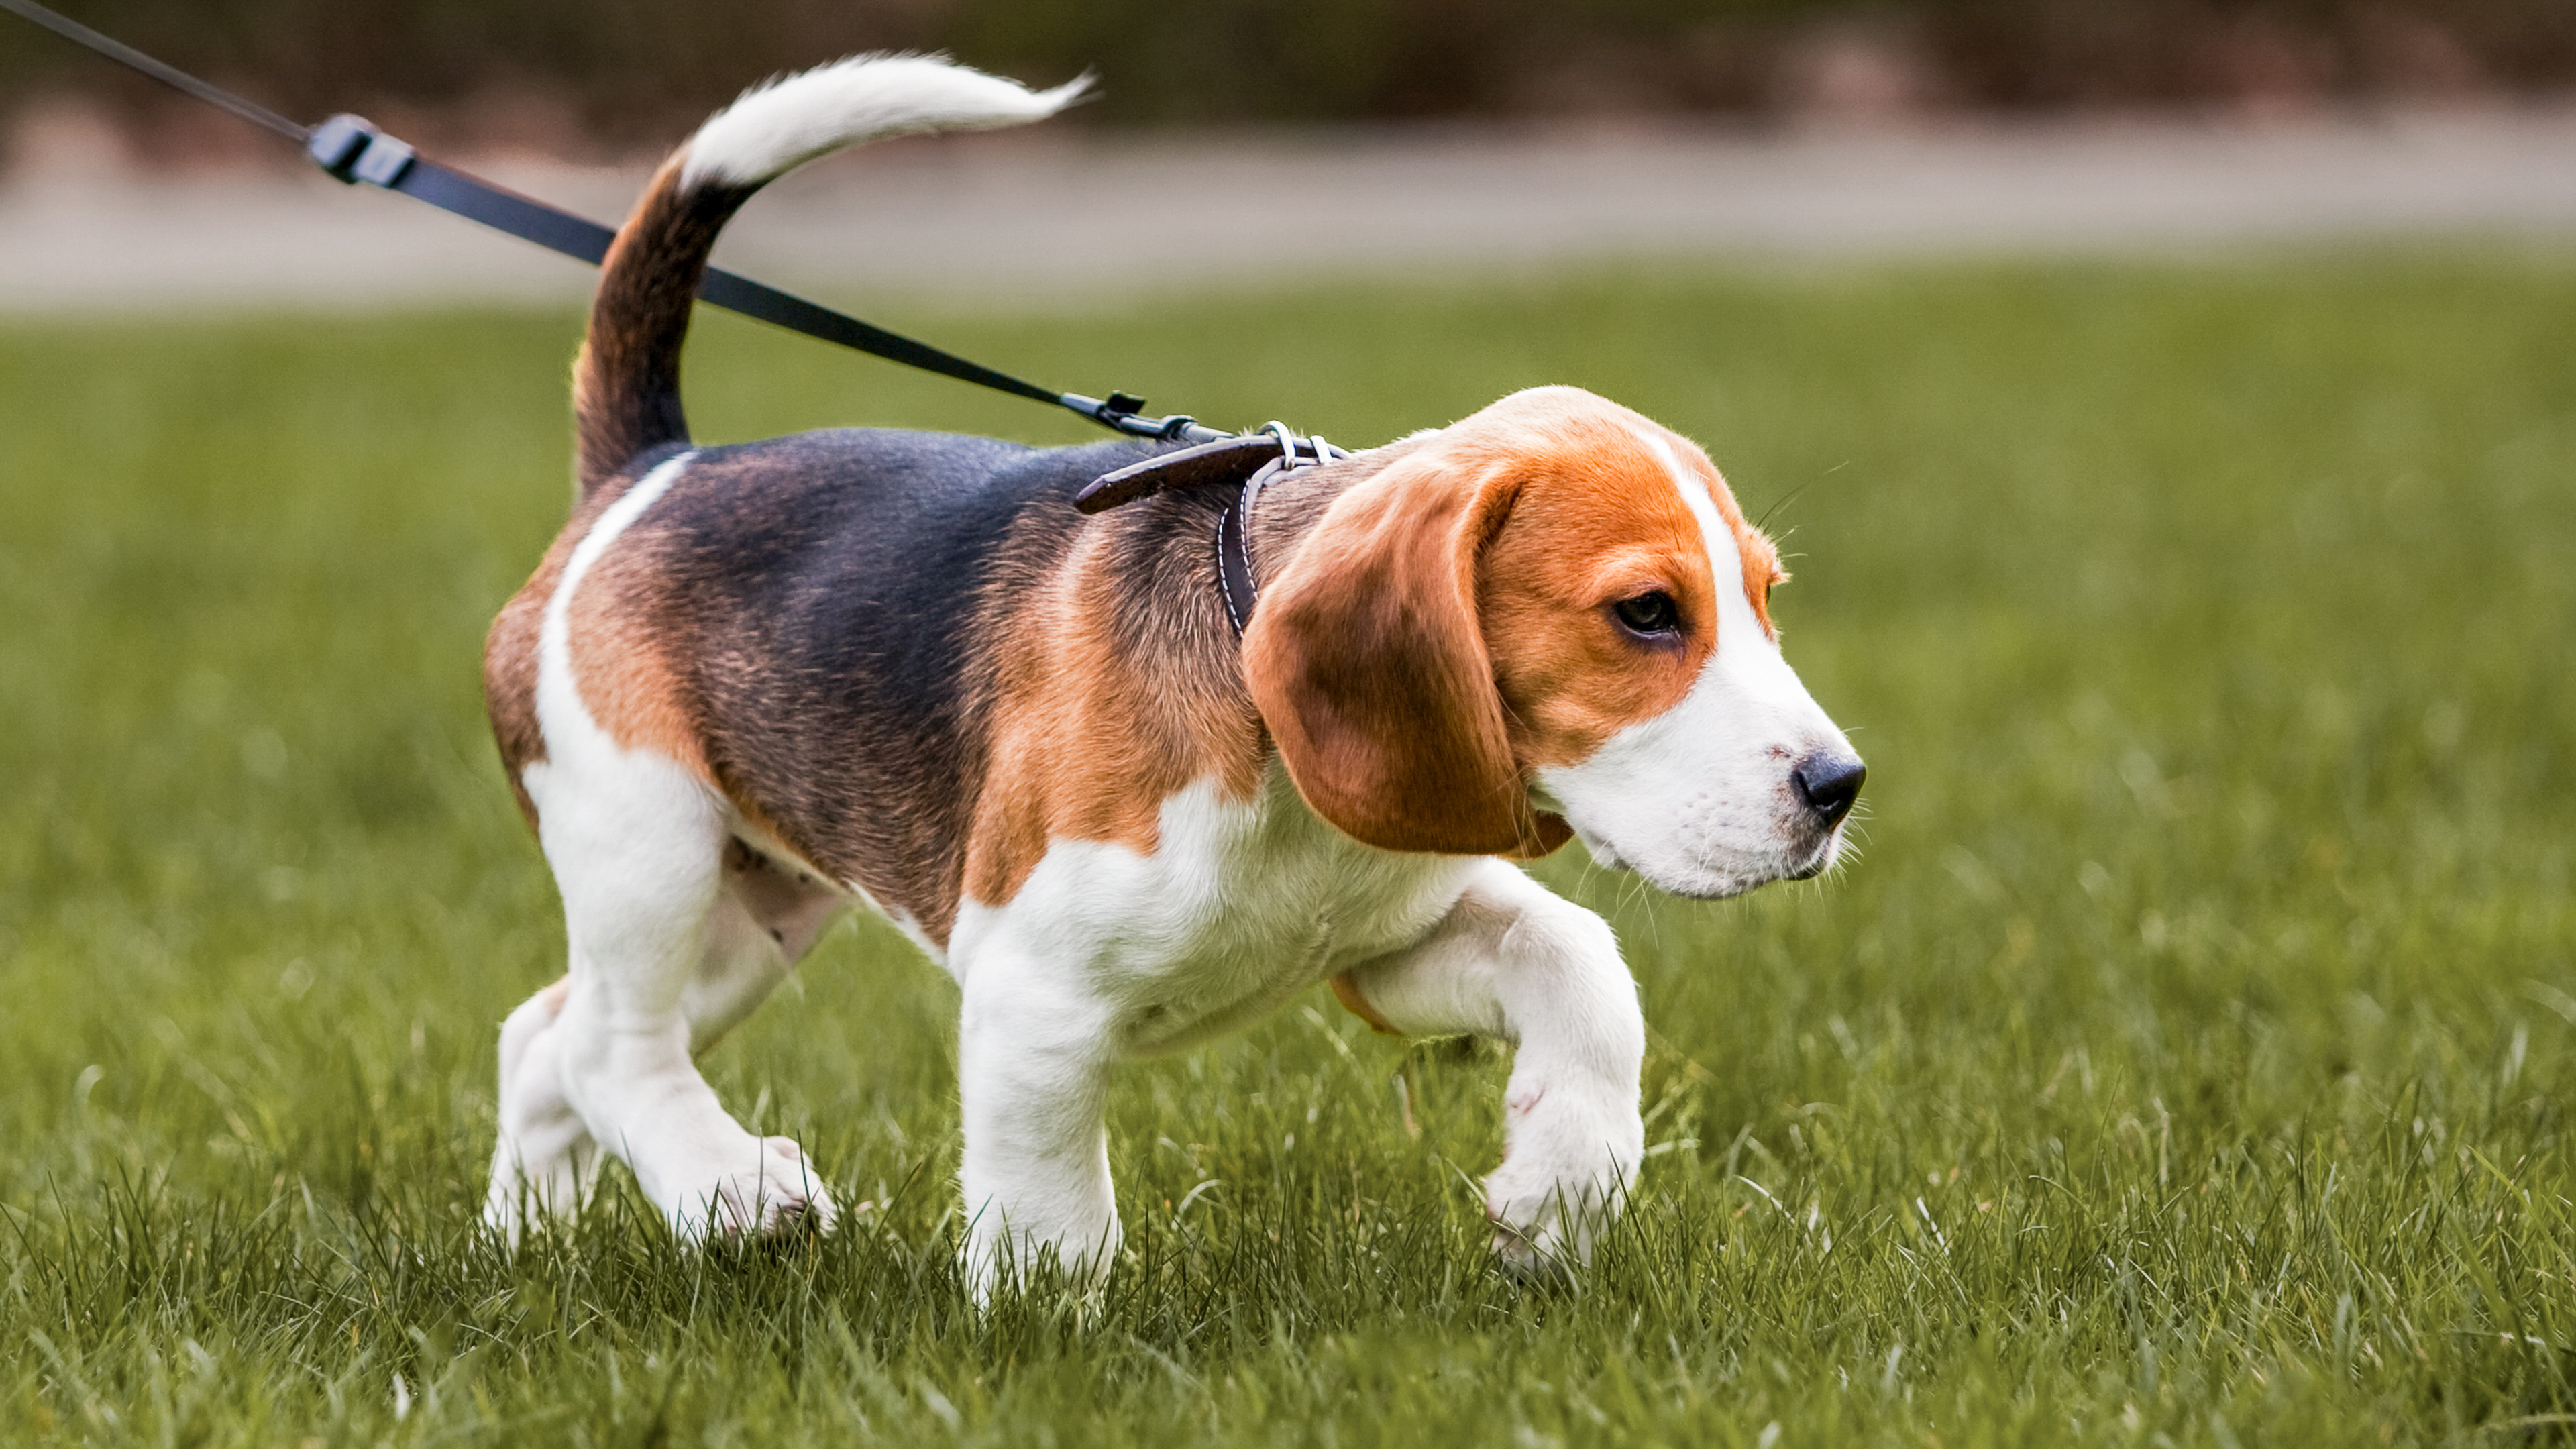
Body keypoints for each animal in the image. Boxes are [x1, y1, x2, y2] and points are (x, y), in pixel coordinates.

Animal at [479, 53, 1854, 1284]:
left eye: (1766, 601)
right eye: (1646, 613)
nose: (1838, 788)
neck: (1284, 779)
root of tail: (654, 469)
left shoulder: (1389, 944)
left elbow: (1581, 964)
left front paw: (1560, 1190)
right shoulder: (1031, 994)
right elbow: (1052, 1215)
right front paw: (1045, 1334)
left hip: (752, 909)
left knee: (545, 1036)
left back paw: (522, 1246)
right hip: (647, 843)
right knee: (611, 1048)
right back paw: (733, 1189)